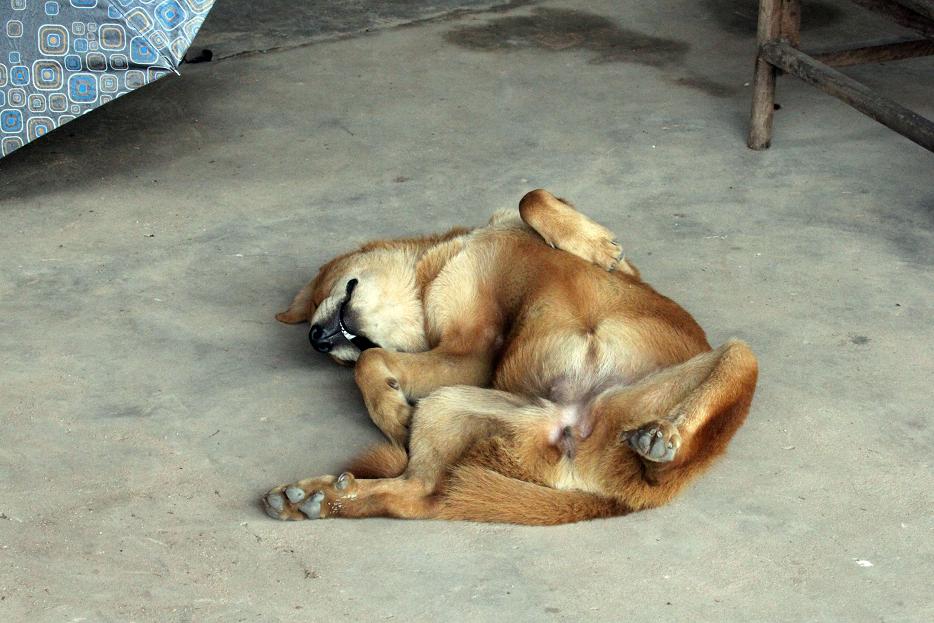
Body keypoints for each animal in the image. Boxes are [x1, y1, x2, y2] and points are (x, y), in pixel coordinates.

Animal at [263, 190, 758, 525]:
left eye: (323, 292)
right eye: (337, 363)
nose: (316, 340)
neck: (430, 275)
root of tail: (616, 495)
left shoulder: (474, 352)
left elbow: (531, 198)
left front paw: (593, 244)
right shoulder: (469, 354)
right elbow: (375, 363)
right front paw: (392, 413)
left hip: (739, 354)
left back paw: (664, 435)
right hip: (448, 405)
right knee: (419, 495)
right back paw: (317, 498)